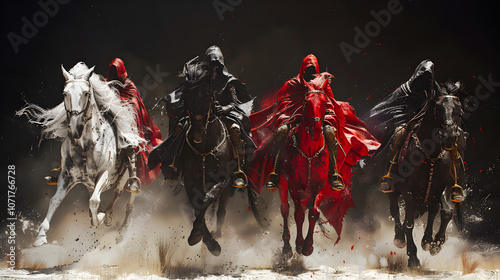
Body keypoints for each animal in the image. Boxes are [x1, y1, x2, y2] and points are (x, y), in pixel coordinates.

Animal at [18, 62, 144, 246]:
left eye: (86, 93)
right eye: (65, 94)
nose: (75, 130)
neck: (85, 145)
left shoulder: (104, 175)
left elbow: (94, 201)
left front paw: (99, 217)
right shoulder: (66, 176)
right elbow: (55, 200)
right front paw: (41, 235)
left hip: (127, 176)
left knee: (125, 198)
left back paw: (121, 229)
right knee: (112, 195)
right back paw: (108, 216)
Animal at [388, 80, 466, 266]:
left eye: (459, 109)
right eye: (438, 107)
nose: (449, 137)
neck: (430, 152)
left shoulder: (438, 188)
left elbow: (438, 212)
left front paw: (431, 242)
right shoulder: (409, 191)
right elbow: (408, 223)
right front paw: (413, 257)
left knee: (442, 211)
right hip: (393, 189)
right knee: (395, 210)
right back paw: (399, 237)